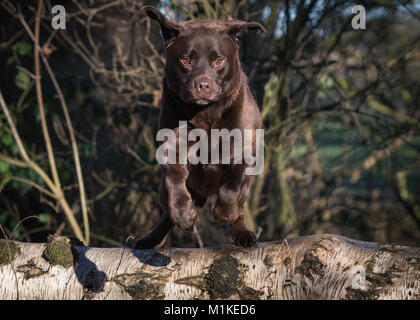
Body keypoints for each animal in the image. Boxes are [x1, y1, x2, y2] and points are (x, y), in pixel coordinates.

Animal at [135, 6, 266, 249]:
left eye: (219, 61)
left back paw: (242, 232)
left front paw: (225, 214)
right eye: (186, 60)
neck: (206, 115)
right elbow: (174, 180)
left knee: (240, 205)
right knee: (166, 209)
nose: (203, 85)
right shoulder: (172, 147)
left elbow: (231, 189)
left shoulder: (244, 153)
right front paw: (184, 214)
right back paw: (153, 237)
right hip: (163, 191)